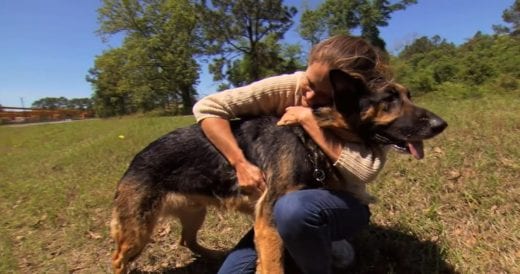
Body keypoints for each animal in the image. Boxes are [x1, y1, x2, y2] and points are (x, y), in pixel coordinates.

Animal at [109, 69, 446, 272]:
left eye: (408, 95)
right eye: (389, 99)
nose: (441, 124)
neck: (309, 138)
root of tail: (135, 159)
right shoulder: (268, 221)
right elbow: (272, 266)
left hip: (194, 213)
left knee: (186, 241)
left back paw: (214, 255)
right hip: (138, 232)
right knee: (118, 258)